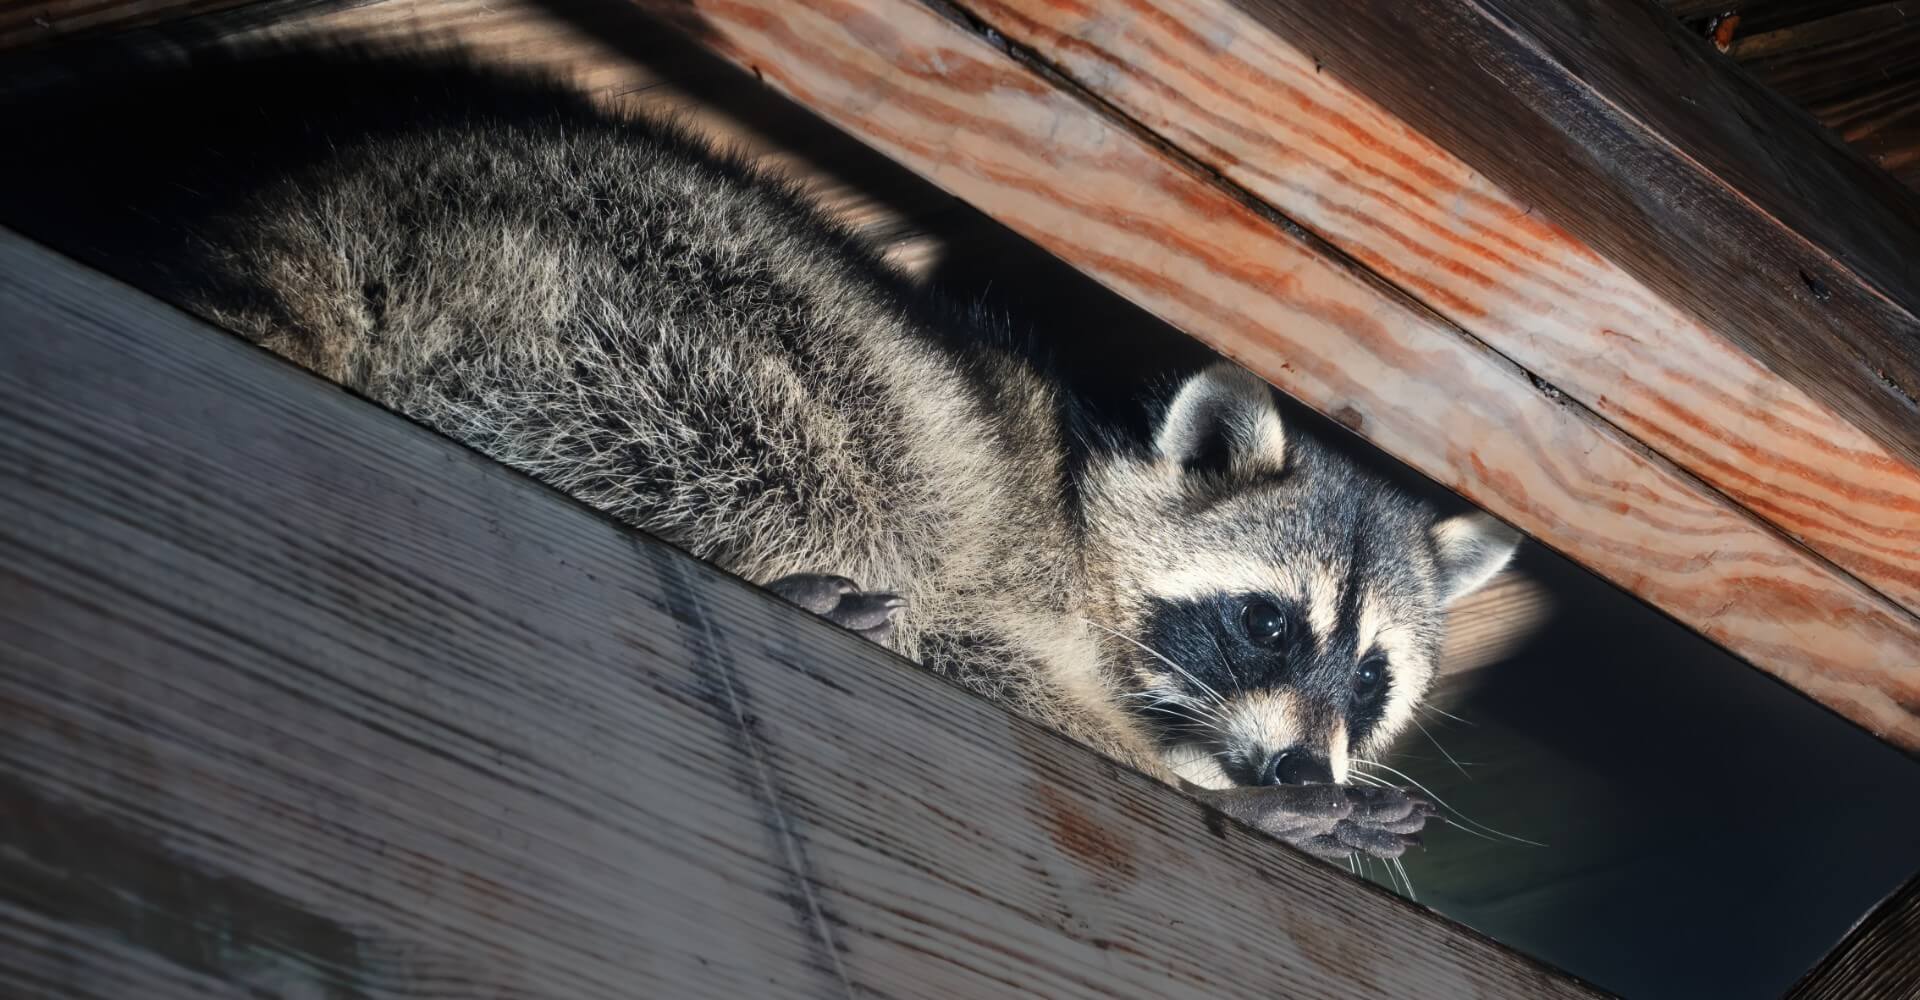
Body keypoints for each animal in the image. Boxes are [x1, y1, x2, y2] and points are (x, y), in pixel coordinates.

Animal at [7, 42, 1520, 859]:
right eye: (1267, 625)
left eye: (1371, 675)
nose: (1304, 772)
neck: (1086, 502)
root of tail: (345, 198)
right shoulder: (1008, 566)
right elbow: (978, 643)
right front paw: (1197, 783)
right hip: (641, 312)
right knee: (825, 455)